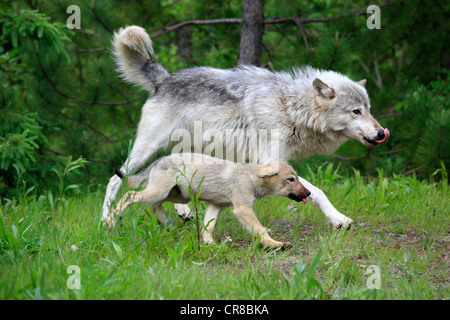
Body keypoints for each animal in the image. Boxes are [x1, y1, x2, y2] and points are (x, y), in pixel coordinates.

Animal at [102, 26, 390, 229]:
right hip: (146, 149)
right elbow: (317, 191)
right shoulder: (271, 161)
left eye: (369, 109)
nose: (381, 133)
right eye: (356, 111)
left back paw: (182, 212)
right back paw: (105, 221)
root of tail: (163, 80)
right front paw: (339, 219)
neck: (291, 107)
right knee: (115, 180)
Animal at [111, 154, 312, 249]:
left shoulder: (216, 206)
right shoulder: (242, 208)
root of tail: (159, 159)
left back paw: (168, 224)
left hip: (174, 195)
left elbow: (208, 229)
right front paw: (277, 245)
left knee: (153, 206)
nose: (309, 193)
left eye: (297, 179)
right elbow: (260, 230)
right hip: (160, 192)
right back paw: (110, 221)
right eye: (291, 179)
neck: (250, 177)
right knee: (129, 195)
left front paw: (211, 246)